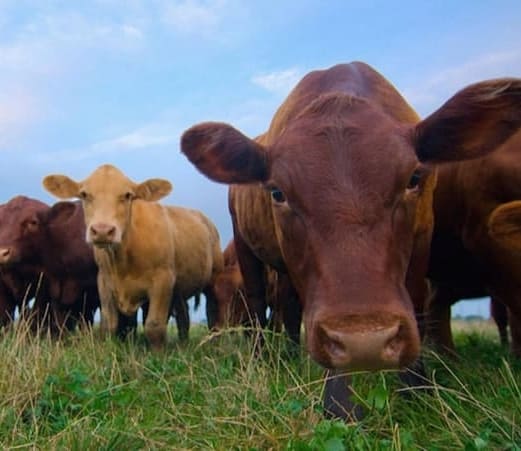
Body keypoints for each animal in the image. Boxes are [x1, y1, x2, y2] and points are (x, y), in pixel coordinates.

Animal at [42, 164, 223, 352]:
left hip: (214, 275)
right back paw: (183, 344)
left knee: (212, 311)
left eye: (127, 195)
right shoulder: (104, 281)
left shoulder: (162, 280)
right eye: (84, 194)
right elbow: (110, 324)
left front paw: (158, 355)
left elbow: (154, 325)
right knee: (183, 316)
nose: (102, 230)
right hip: (179, 288)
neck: (123, 260)